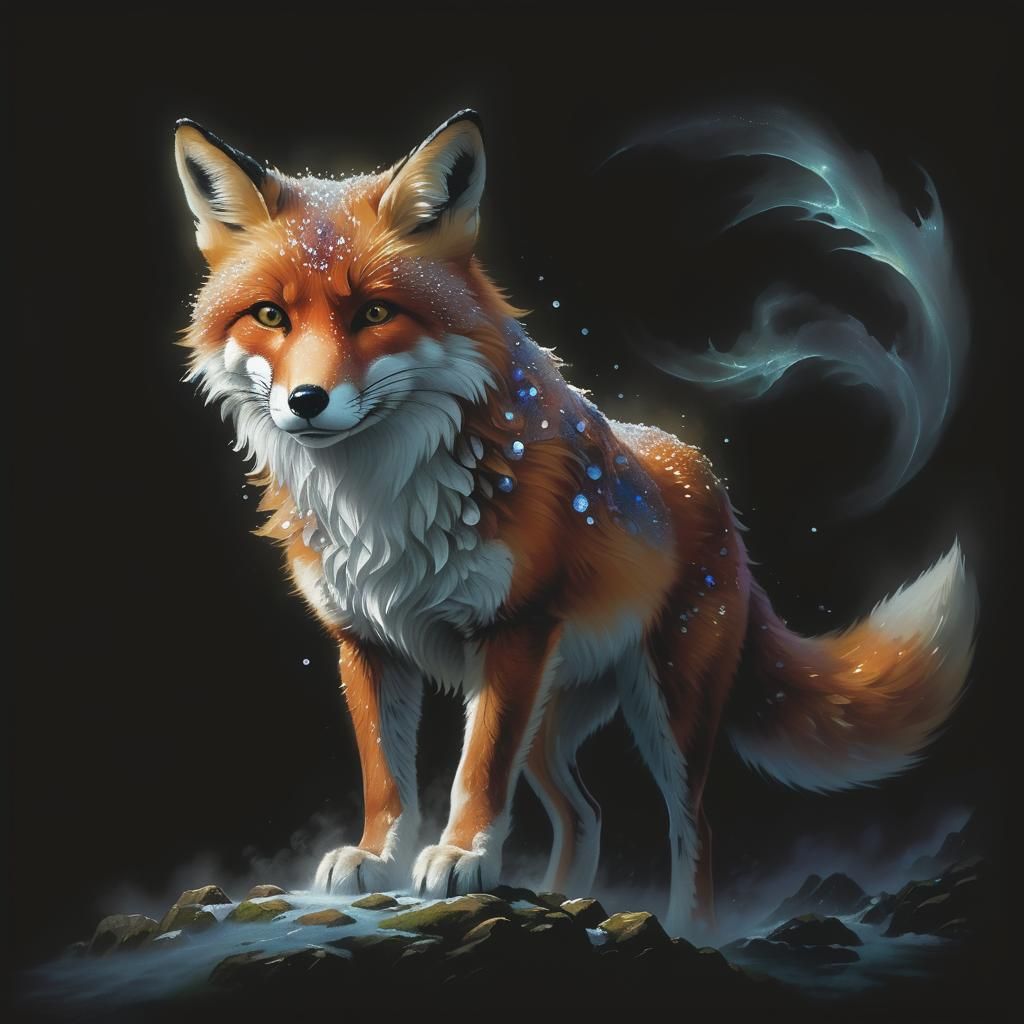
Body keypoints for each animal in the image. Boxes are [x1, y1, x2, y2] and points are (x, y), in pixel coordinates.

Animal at [172, 109, 977, 935]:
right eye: (271, 315)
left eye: (374, 312)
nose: (306, 401)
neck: (380, 502)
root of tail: (704, 476)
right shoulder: (364, 642)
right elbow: (385, 777)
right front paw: (377, 856)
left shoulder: (513, 630)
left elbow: (475, 774)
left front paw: (460, 855)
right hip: (549, 717)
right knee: (585, 814)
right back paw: (562, 898)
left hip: (664, 707)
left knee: (693, 826)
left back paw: (687, 928)